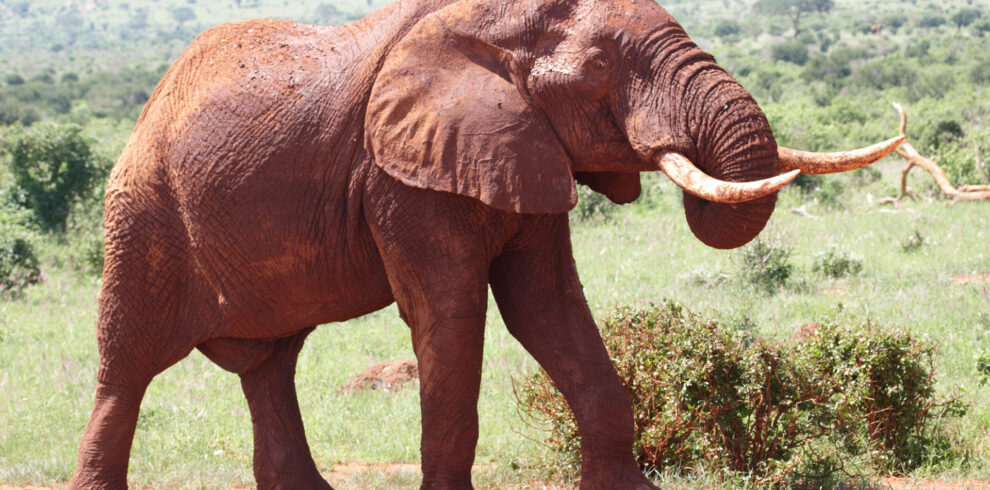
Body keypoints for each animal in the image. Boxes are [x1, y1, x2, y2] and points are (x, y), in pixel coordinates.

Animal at [68, 0, 902, 488]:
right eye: (603, 69)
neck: (505, 20)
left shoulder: (520, 150)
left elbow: (548, 308)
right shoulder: (402, 175)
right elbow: (451, 316)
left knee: (269, 366)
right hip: (142, 211)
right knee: (125, 369)